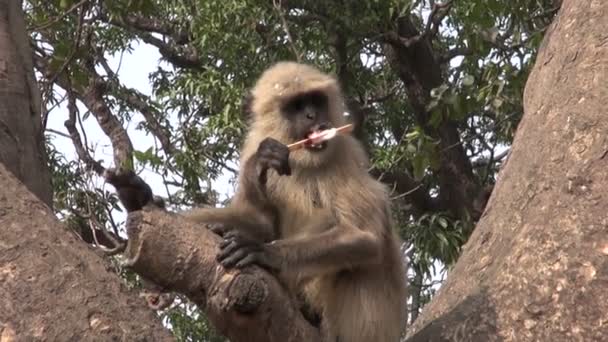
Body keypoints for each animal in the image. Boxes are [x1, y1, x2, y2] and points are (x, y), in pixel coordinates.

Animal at [185, 62, 406, 342]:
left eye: (315, 101)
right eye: (296, 106)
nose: (312, 115)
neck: (301, 159)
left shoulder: (344, 153)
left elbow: (365, 238)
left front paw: (264, 251)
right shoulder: (256, 143)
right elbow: (260, 220)